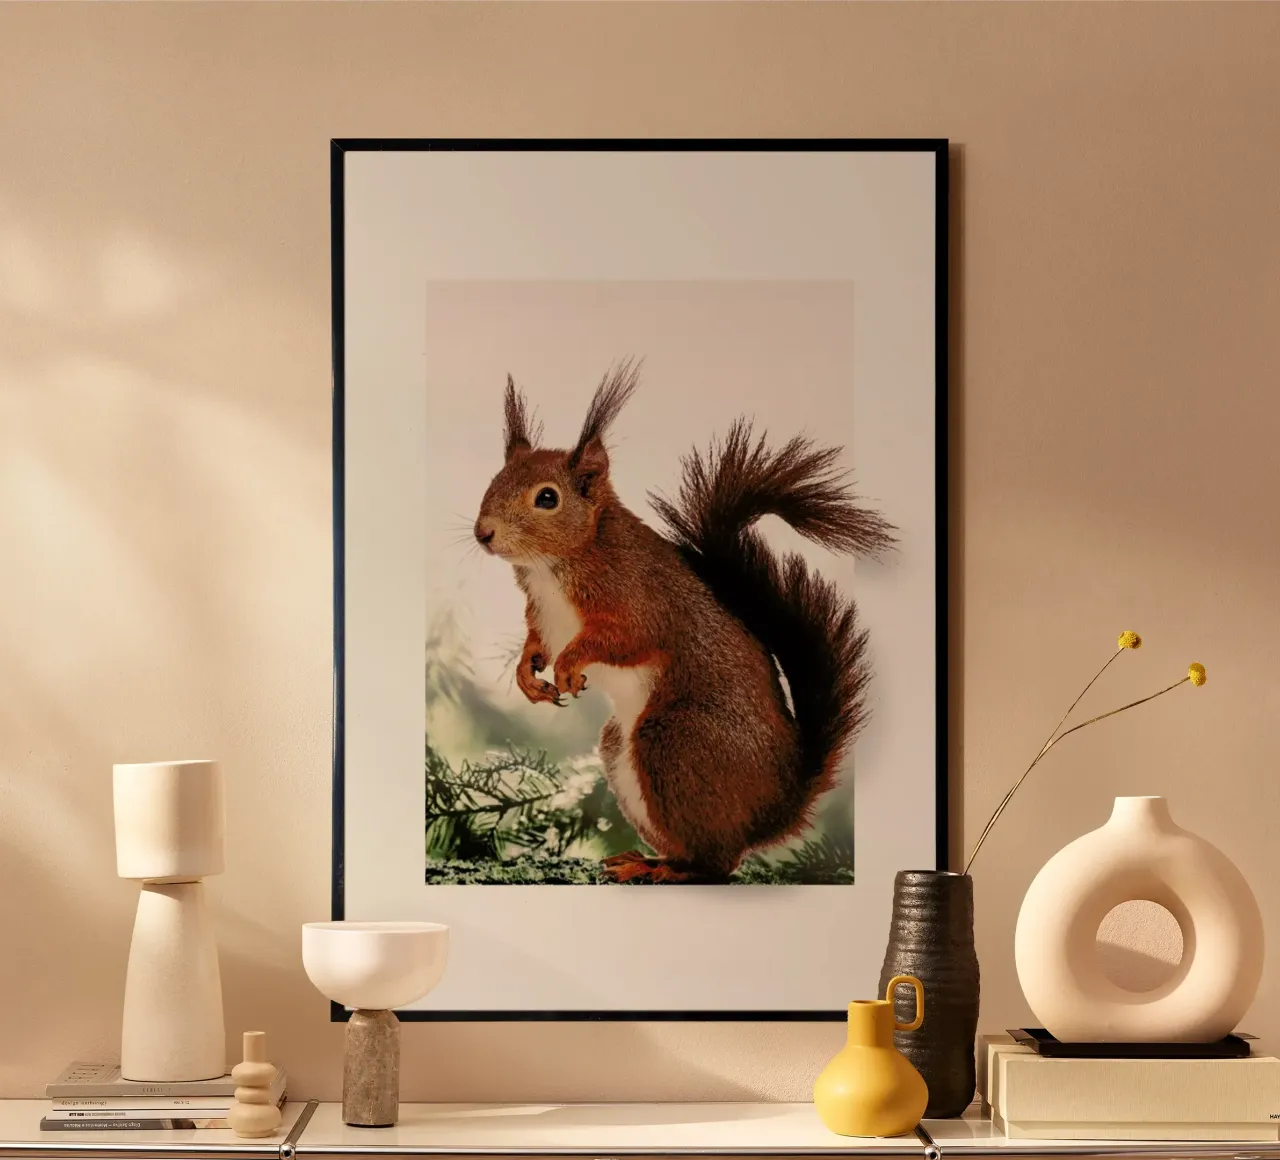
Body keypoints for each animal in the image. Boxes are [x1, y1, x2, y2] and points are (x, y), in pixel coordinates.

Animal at [473, 360, 896, 883]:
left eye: (547, 498)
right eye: (495, 479)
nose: (483, 533)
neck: (554, 566)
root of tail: (778, 807)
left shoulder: (639, 600)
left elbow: (623, 638)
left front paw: (570, 665)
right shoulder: (543, 614)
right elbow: (537, 642)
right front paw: (526, 675)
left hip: (675, 741)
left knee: (718, 864)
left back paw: (668, 872)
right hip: (624, 751)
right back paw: (647, 860)